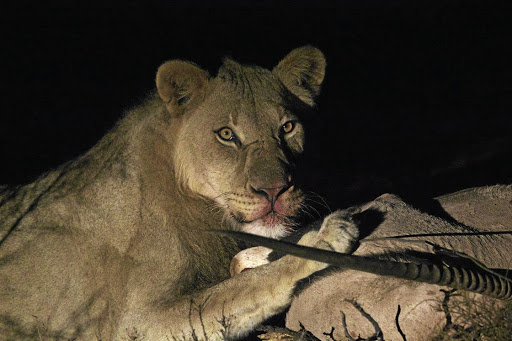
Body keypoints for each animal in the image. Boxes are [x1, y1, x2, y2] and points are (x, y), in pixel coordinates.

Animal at [0, 46, 364, 338]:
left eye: (287, 127)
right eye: (227, 134)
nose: (274, 190)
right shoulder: (136, 322)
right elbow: (244, 286)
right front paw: (323, 240)